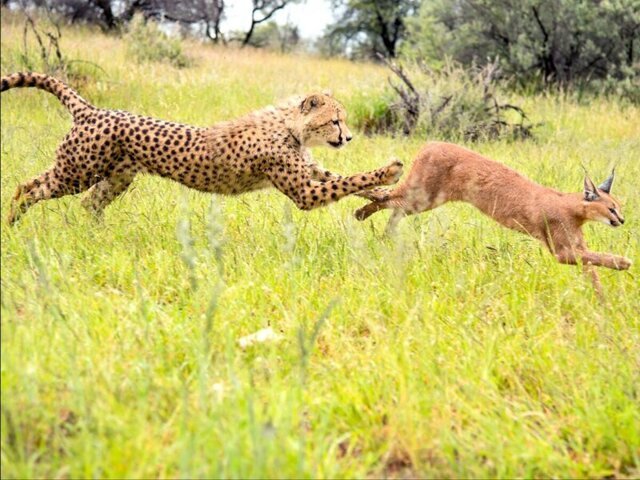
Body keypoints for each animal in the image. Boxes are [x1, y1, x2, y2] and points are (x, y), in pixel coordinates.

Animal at [0, 71, 400, 225]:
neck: (290, 127)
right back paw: (13, 221)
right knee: (29, 187)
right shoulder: (305, 192)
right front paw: (390, 170)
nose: (348, 138)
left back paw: (95, 234)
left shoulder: (311, 171)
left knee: (87, 202)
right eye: (336, 121)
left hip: (115, 178)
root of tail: (92, 109)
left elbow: (349, 180)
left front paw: (384, 195)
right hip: (77, 171)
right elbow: (349, 180)